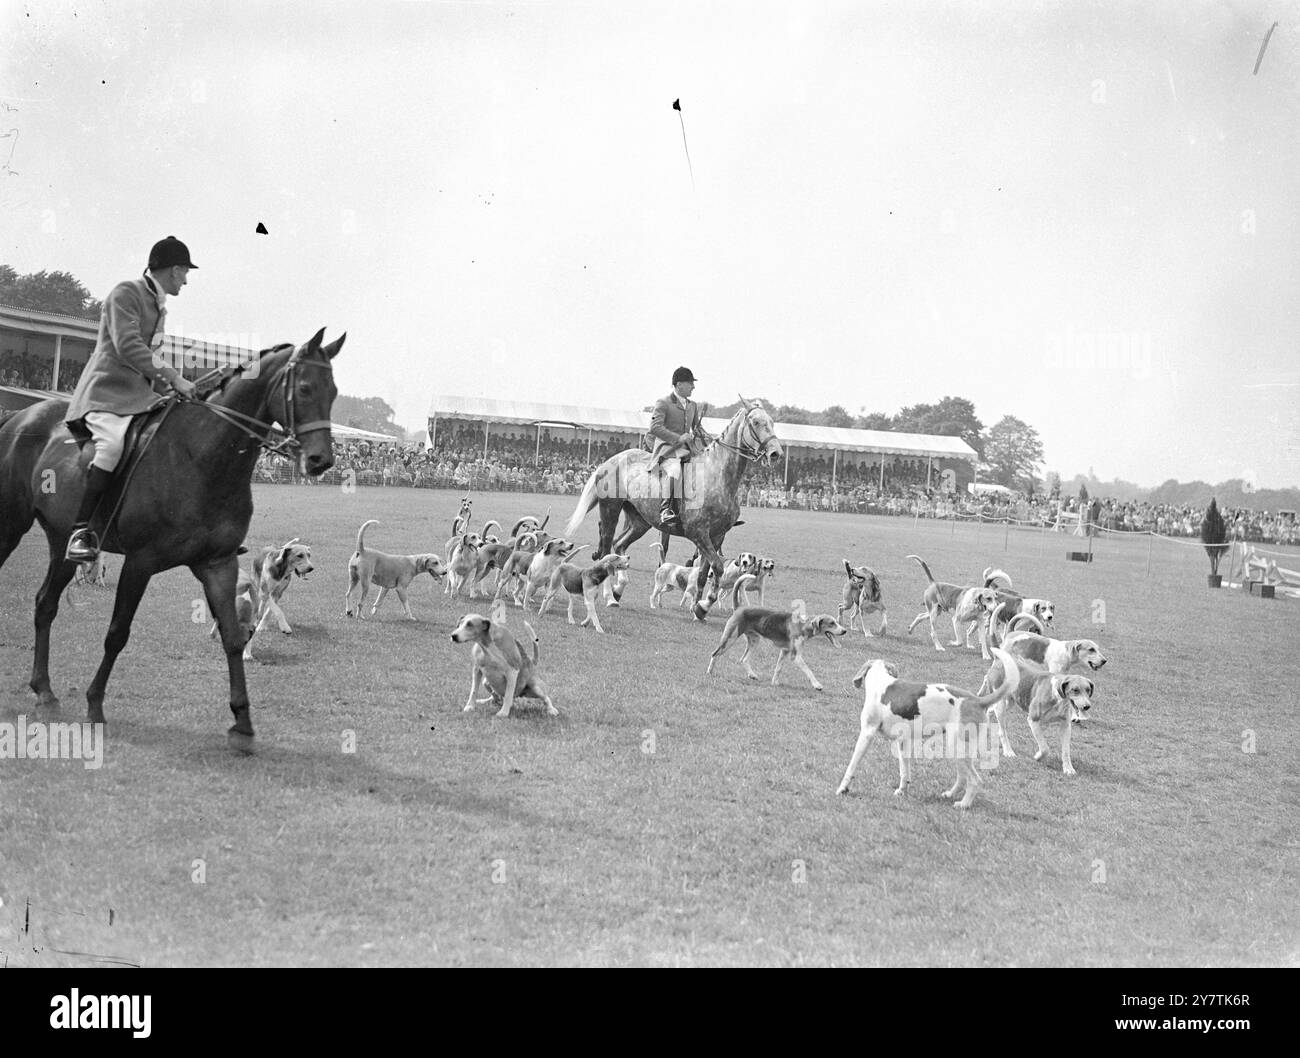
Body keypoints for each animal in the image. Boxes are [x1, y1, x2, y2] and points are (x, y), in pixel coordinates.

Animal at [0, 327, 345, 748]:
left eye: (335, 392)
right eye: (307, 388)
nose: (321, 461)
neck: (202, 456)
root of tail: (19, 416)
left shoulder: (218, 565)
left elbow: (234, 637)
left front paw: (242, 723)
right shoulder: (140, 562)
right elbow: (117, 633)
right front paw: (95, 705)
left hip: (62, 543)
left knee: (45, 604)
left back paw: (44, 691)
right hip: (11, 524)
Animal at [561, 397, 780, 616]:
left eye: (771, 421)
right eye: (755, 422)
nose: (776, 453)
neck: (717, 477)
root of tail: (611, 460)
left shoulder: (716, 536)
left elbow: (703, 573)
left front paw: (698, 607)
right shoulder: (698, 532)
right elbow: (716, 566)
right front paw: (705, 603)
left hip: (640, 520)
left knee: (620, 544)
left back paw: (619, 588)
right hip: (610, 510)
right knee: (607, 549)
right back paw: (609, 597)